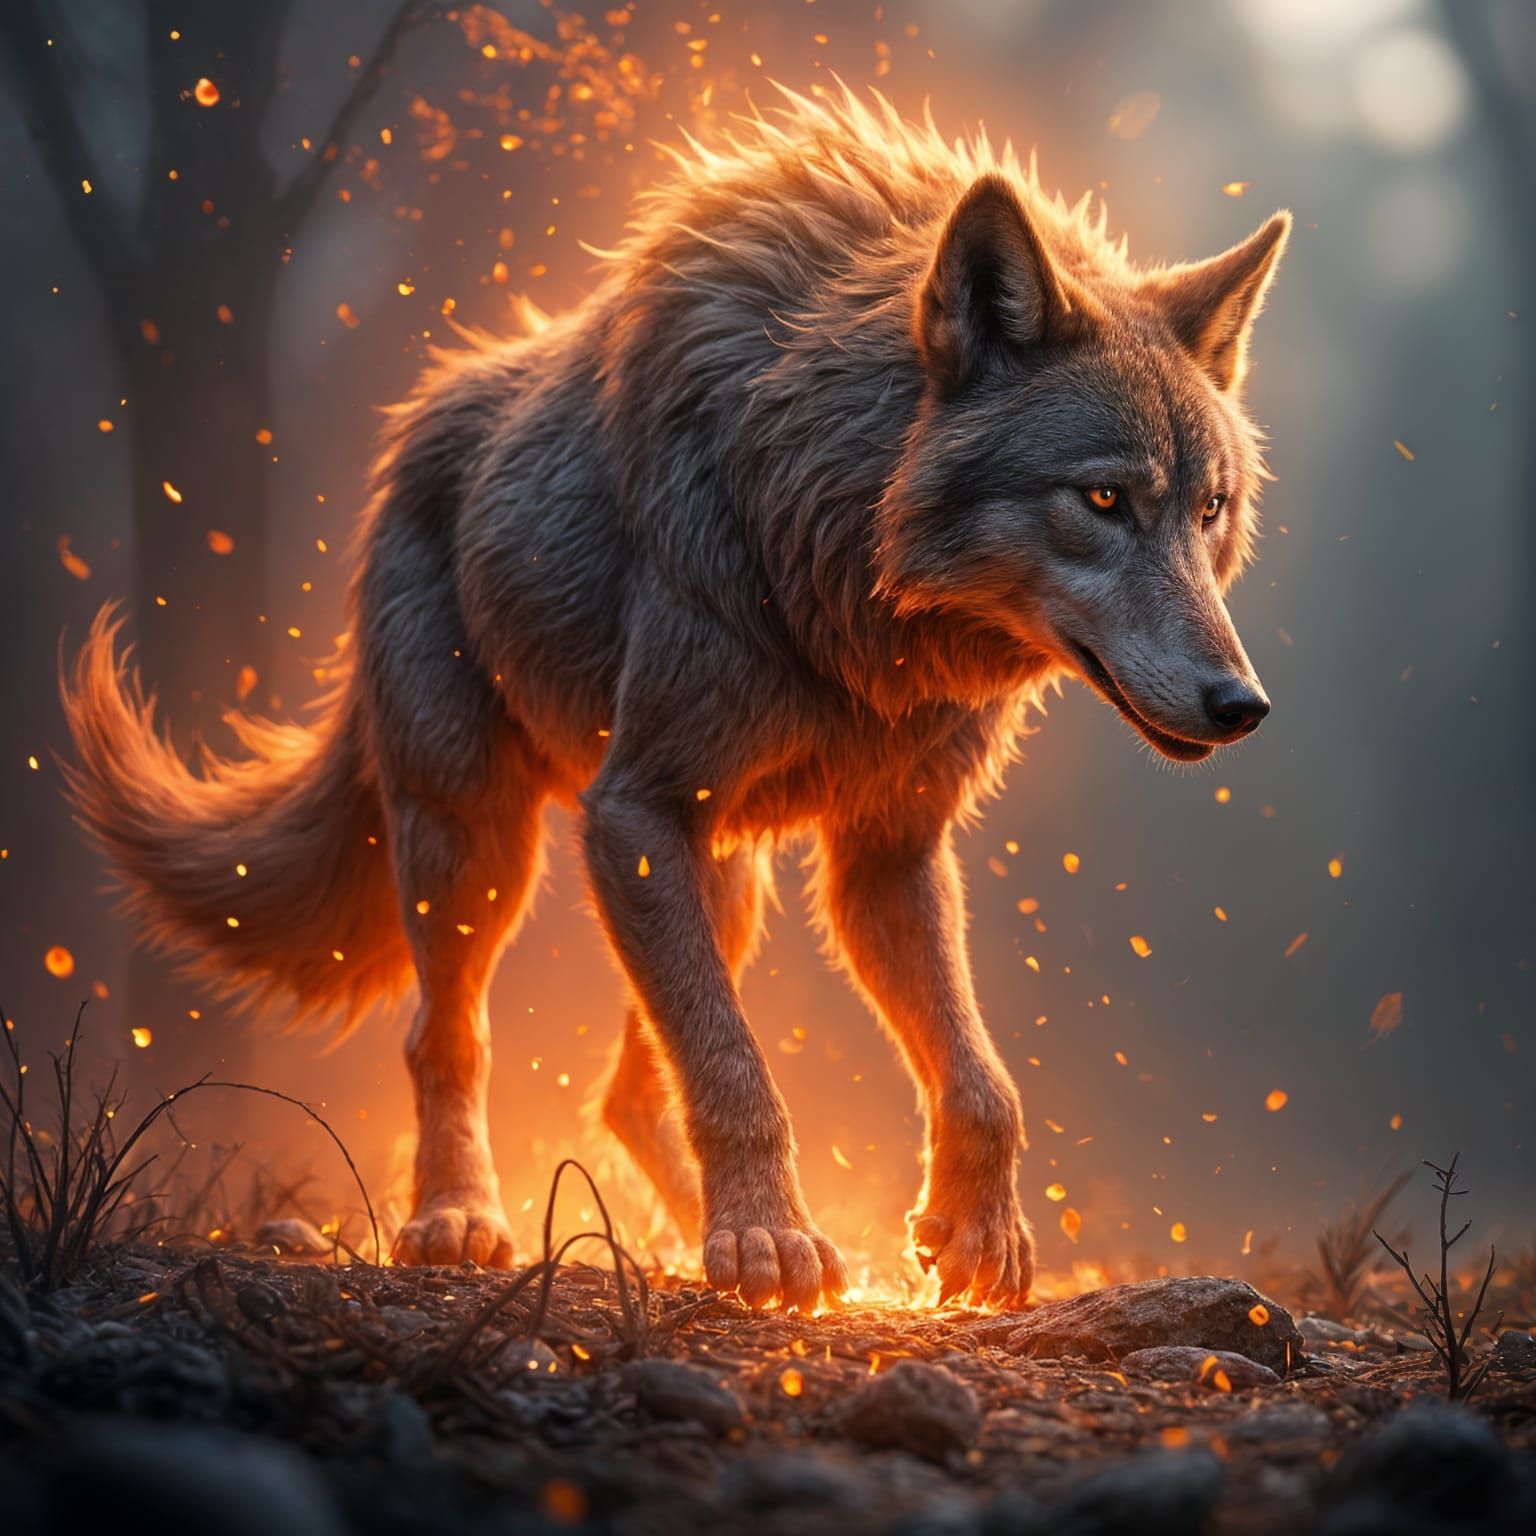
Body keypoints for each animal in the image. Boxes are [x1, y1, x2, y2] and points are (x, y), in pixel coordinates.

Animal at [63, 90, 1287, 1310]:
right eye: (1103, 500)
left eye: (1211, 509)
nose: (1243, 705)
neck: (838, 567)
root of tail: (414, 427)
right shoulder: (635, 812)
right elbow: (738, 1069)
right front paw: (769, 1244)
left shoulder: (887, 853)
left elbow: (979, 1079)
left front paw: (970, 1235)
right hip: (482, 845)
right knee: (445, 1037)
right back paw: (460, 1219)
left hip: (719, 877)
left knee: (627, 1091)